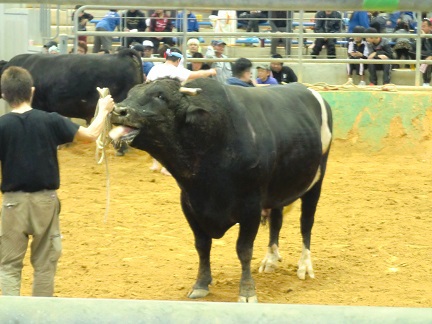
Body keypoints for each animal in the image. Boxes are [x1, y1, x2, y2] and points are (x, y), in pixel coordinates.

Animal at [109, 78, 332, 302]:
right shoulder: (189, 204)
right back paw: (270, 260)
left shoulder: (251, 207)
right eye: (130, 93)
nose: (118, 110)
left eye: (160, 96)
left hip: (316, 183)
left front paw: (247, 292)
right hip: (277, 190)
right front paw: (200, 284)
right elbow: (202, 245)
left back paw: (305, 266)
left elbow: (244, 249)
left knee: (306, 224)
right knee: (276, 221)